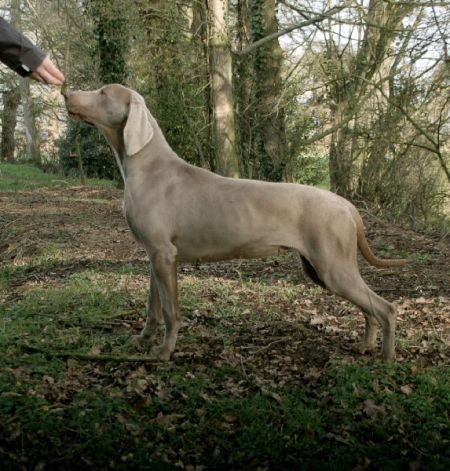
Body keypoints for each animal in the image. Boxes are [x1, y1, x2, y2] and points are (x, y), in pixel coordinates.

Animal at [64, 85, 408, 364]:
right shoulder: (154, 256)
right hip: (324, 269)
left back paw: (387, 356)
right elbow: (154, 307)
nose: (66, 93)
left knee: (385, 308)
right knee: (369, 308)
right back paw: (366, 345)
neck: (148, 167)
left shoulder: (164, 254)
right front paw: (144, 339)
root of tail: (347, 206)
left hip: (333, 267)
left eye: (103, 92)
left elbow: (171, 311)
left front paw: (165, 351)